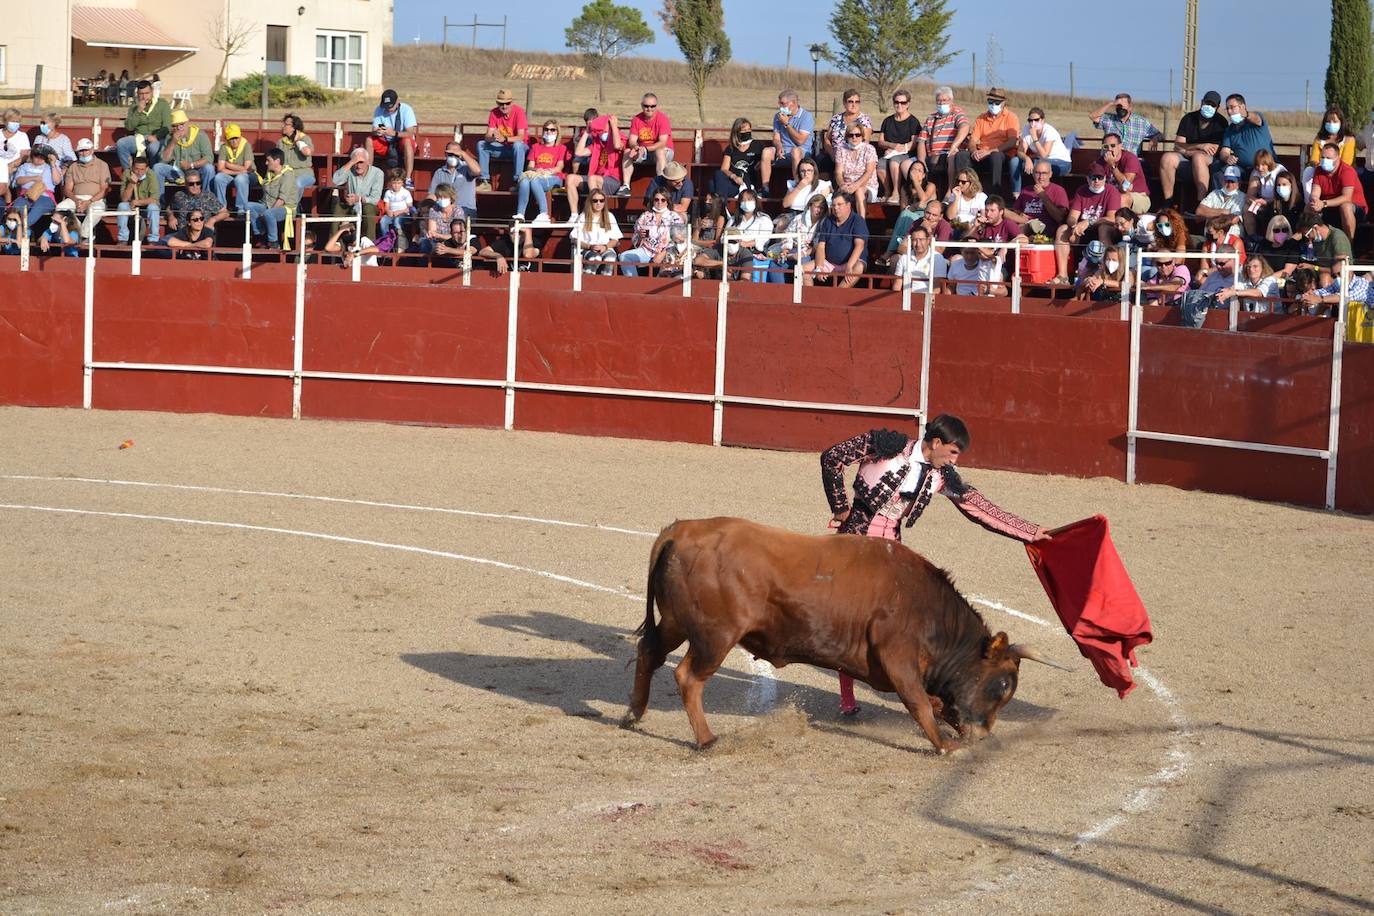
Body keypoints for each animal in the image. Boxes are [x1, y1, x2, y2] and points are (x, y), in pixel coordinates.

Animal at [621, 519, 1060, 758]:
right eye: (1001, 685)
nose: (985, 734)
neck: (927, 606)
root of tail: (679, 532)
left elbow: (935, 702)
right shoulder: (897, 655)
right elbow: (920, 703)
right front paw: (945, 746)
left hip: (675, 622)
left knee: (649, 651)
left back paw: (633, 715)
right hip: (715, 637)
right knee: (688, 677)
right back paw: (707, 739)